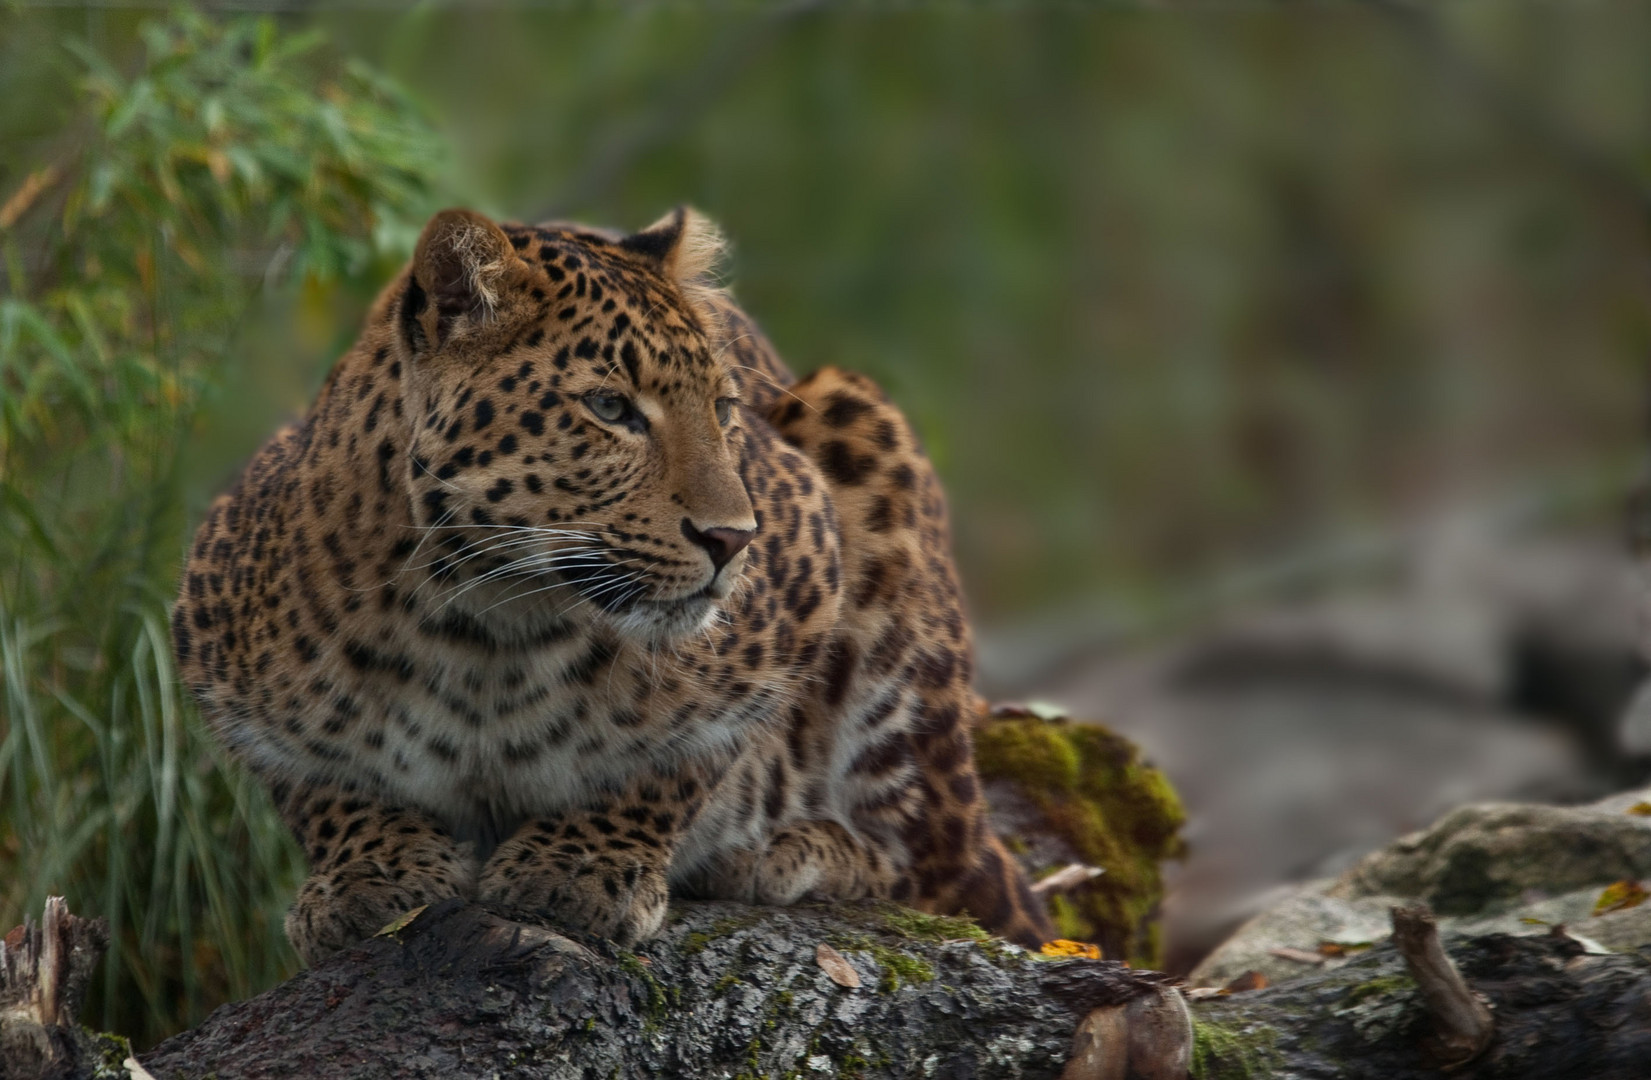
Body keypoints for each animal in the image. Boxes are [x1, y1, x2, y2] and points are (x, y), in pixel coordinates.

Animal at [174, 207, 1050, 971]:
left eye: (724, 409)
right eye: (609, 407)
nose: (735, 538)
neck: (484, 630)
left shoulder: (803, 561)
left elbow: (680, 763)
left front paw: (578, 868)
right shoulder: (214, 640)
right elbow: (317, 784)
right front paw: (371, 873)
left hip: (863, 442)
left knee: (933, 868)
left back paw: (794, 848)